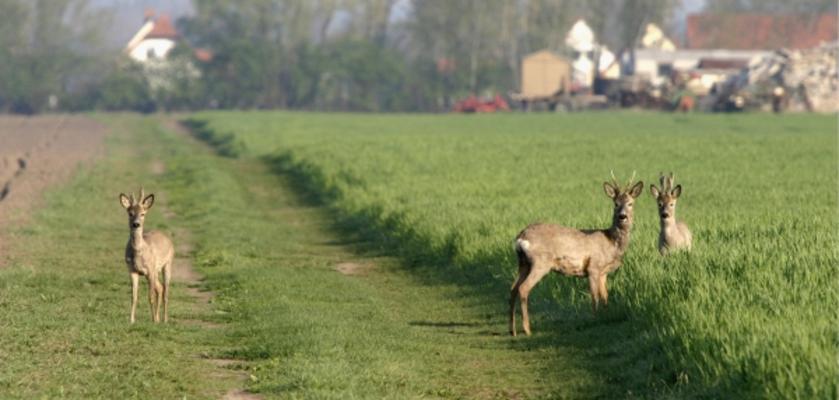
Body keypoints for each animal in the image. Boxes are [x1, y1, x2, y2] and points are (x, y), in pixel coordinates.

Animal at [120, 189, 174, 324]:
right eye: (130, 213)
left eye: (143, 214)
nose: (136, 224)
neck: (139, 253)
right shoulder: (132, 270)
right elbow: (134, 296)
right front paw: (131, 320)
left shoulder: (150, 269)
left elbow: (150, 296)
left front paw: (153, 320)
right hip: (155, 271)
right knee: (160, 288)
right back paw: (159, 318)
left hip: (168, 263)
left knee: (165, 291)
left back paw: (164, 319)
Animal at [512, 173, 644, 336]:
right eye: (616, 203)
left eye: (630, 203)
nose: (622, 216)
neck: (611, 242)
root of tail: (521, 237)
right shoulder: (593, 267)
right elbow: (595, 297)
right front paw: (595, 320)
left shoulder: (603, 273)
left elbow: (605, 297)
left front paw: (606, 316)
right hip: (540, 262)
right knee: (523, 288)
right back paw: (527, 329)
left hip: (523, 262)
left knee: (513, 289)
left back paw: (512, 330)